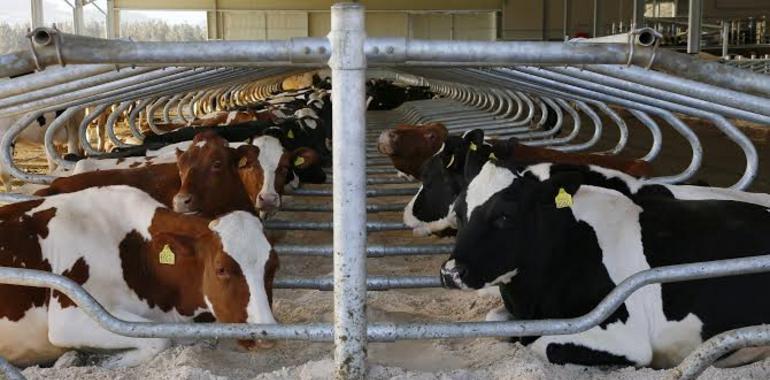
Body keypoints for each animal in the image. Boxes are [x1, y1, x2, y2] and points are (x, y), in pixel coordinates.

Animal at [0, 186, 276, 366]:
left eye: (274, 267)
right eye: (221, 269)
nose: (267, 334)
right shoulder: (70, 317)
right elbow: (160, 341)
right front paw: (105, 361)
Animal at [440, 160, 768, 368]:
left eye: (505, 216)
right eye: (459, 212)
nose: (450, 272)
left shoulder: (628, 339)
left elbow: (540, 344)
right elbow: (495, 323)